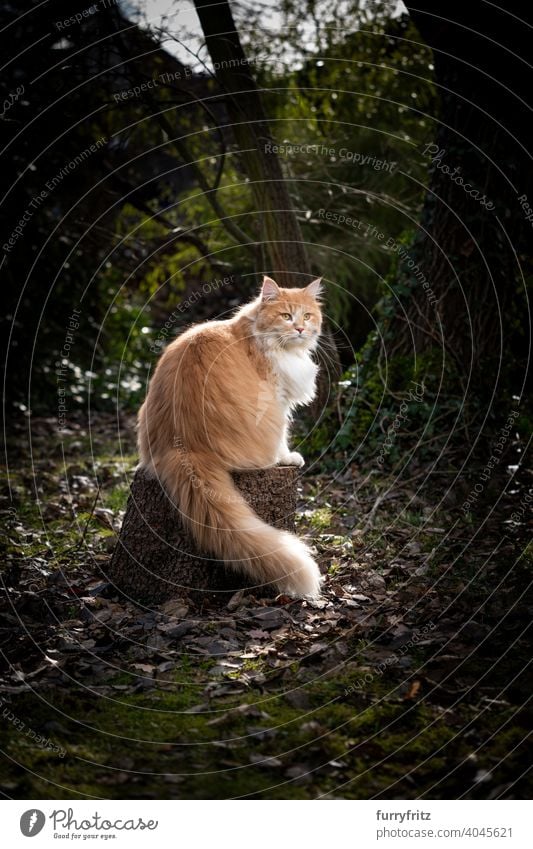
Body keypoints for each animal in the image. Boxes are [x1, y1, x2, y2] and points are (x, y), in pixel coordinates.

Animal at [135, 276, 322, 596]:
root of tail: (184, 444)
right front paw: (289, 456)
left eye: (307, 316)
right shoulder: (277, 398)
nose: (299, 329)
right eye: (286, 316)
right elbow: (283, 437)